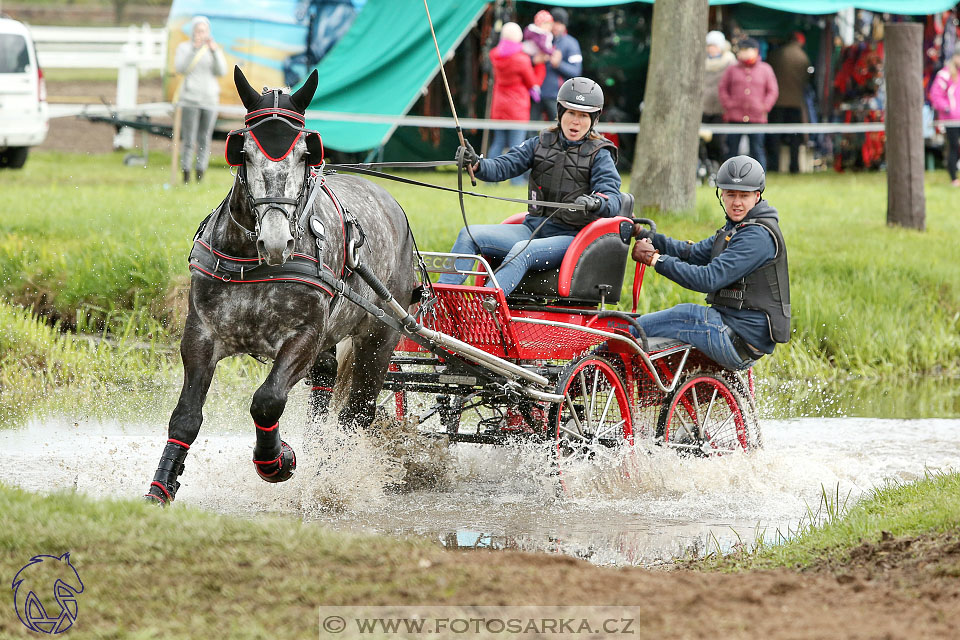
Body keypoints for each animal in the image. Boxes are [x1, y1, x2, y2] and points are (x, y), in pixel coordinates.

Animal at [148, 66, 418, 504]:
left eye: (306, 153)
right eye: (243, 152)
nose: (276, 241)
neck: (255, 265)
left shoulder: (302, 337)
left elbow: (267, 400)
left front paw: (277, 460)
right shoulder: (200, 335)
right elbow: (185, 417)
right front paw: (161, 486)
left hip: (379, 339)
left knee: (356, 415)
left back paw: (332, 477)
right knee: (325, 383)